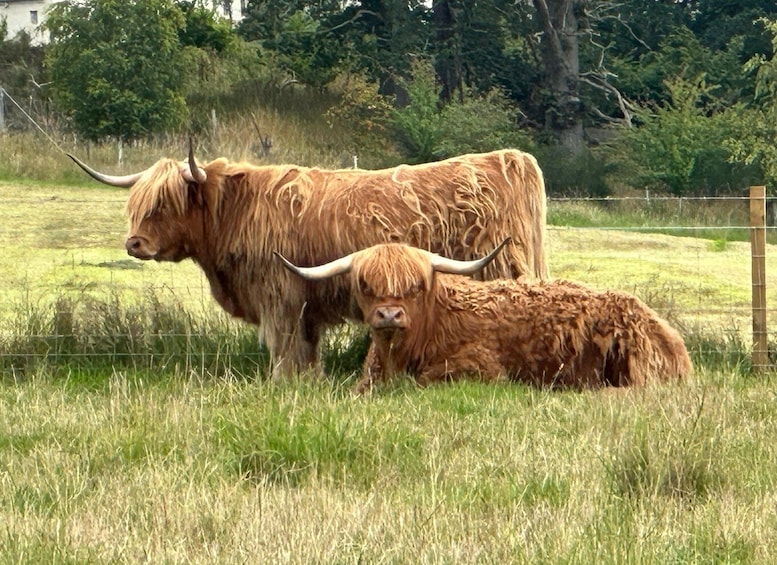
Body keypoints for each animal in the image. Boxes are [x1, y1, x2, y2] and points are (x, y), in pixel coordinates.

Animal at [69, 145, 548, 379]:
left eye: (164, 204)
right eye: (136, 203)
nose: (134, 243)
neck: (235, 212)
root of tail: (508, 158)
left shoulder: (278, 296)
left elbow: (284, 348)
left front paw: (281, 384)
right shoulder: (305, 304)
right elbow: (307, 350)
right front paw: (310, 381)